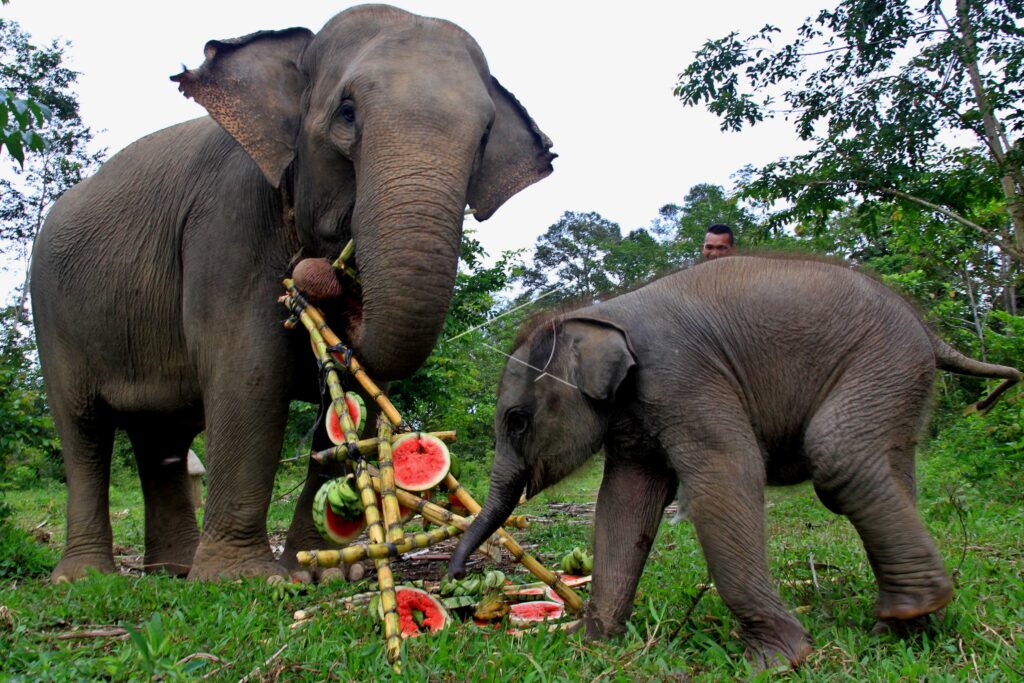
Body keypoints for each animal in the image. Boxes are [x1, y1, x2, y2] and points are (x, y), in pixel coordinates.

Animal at [30, 4, 555, 582]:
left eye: (484, 138)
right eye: (346, 113)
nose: (323, 277)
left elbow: (351, 399)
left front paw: (326, 572)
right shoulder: (228, 222)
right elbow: (249, 376)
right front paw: (244, 578)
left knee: (162, 435)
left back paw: (176, 568)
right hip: (51, 310)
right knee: (84, 431)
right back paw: (86, 575)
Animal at [450, 256, 1020, 668]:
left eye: (517, 421)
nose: (455, 580)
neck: (602, 312)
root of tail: (932, 334)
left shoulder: (683, 376)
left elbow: (726, 475)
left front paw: (776, 661)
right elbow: (623, 503)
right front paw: (586, 642)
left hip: (883, 361)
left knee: (838, 458)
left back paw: (909, 612)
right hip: (898, 377)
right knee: (883, 469)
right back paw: (902, 626)